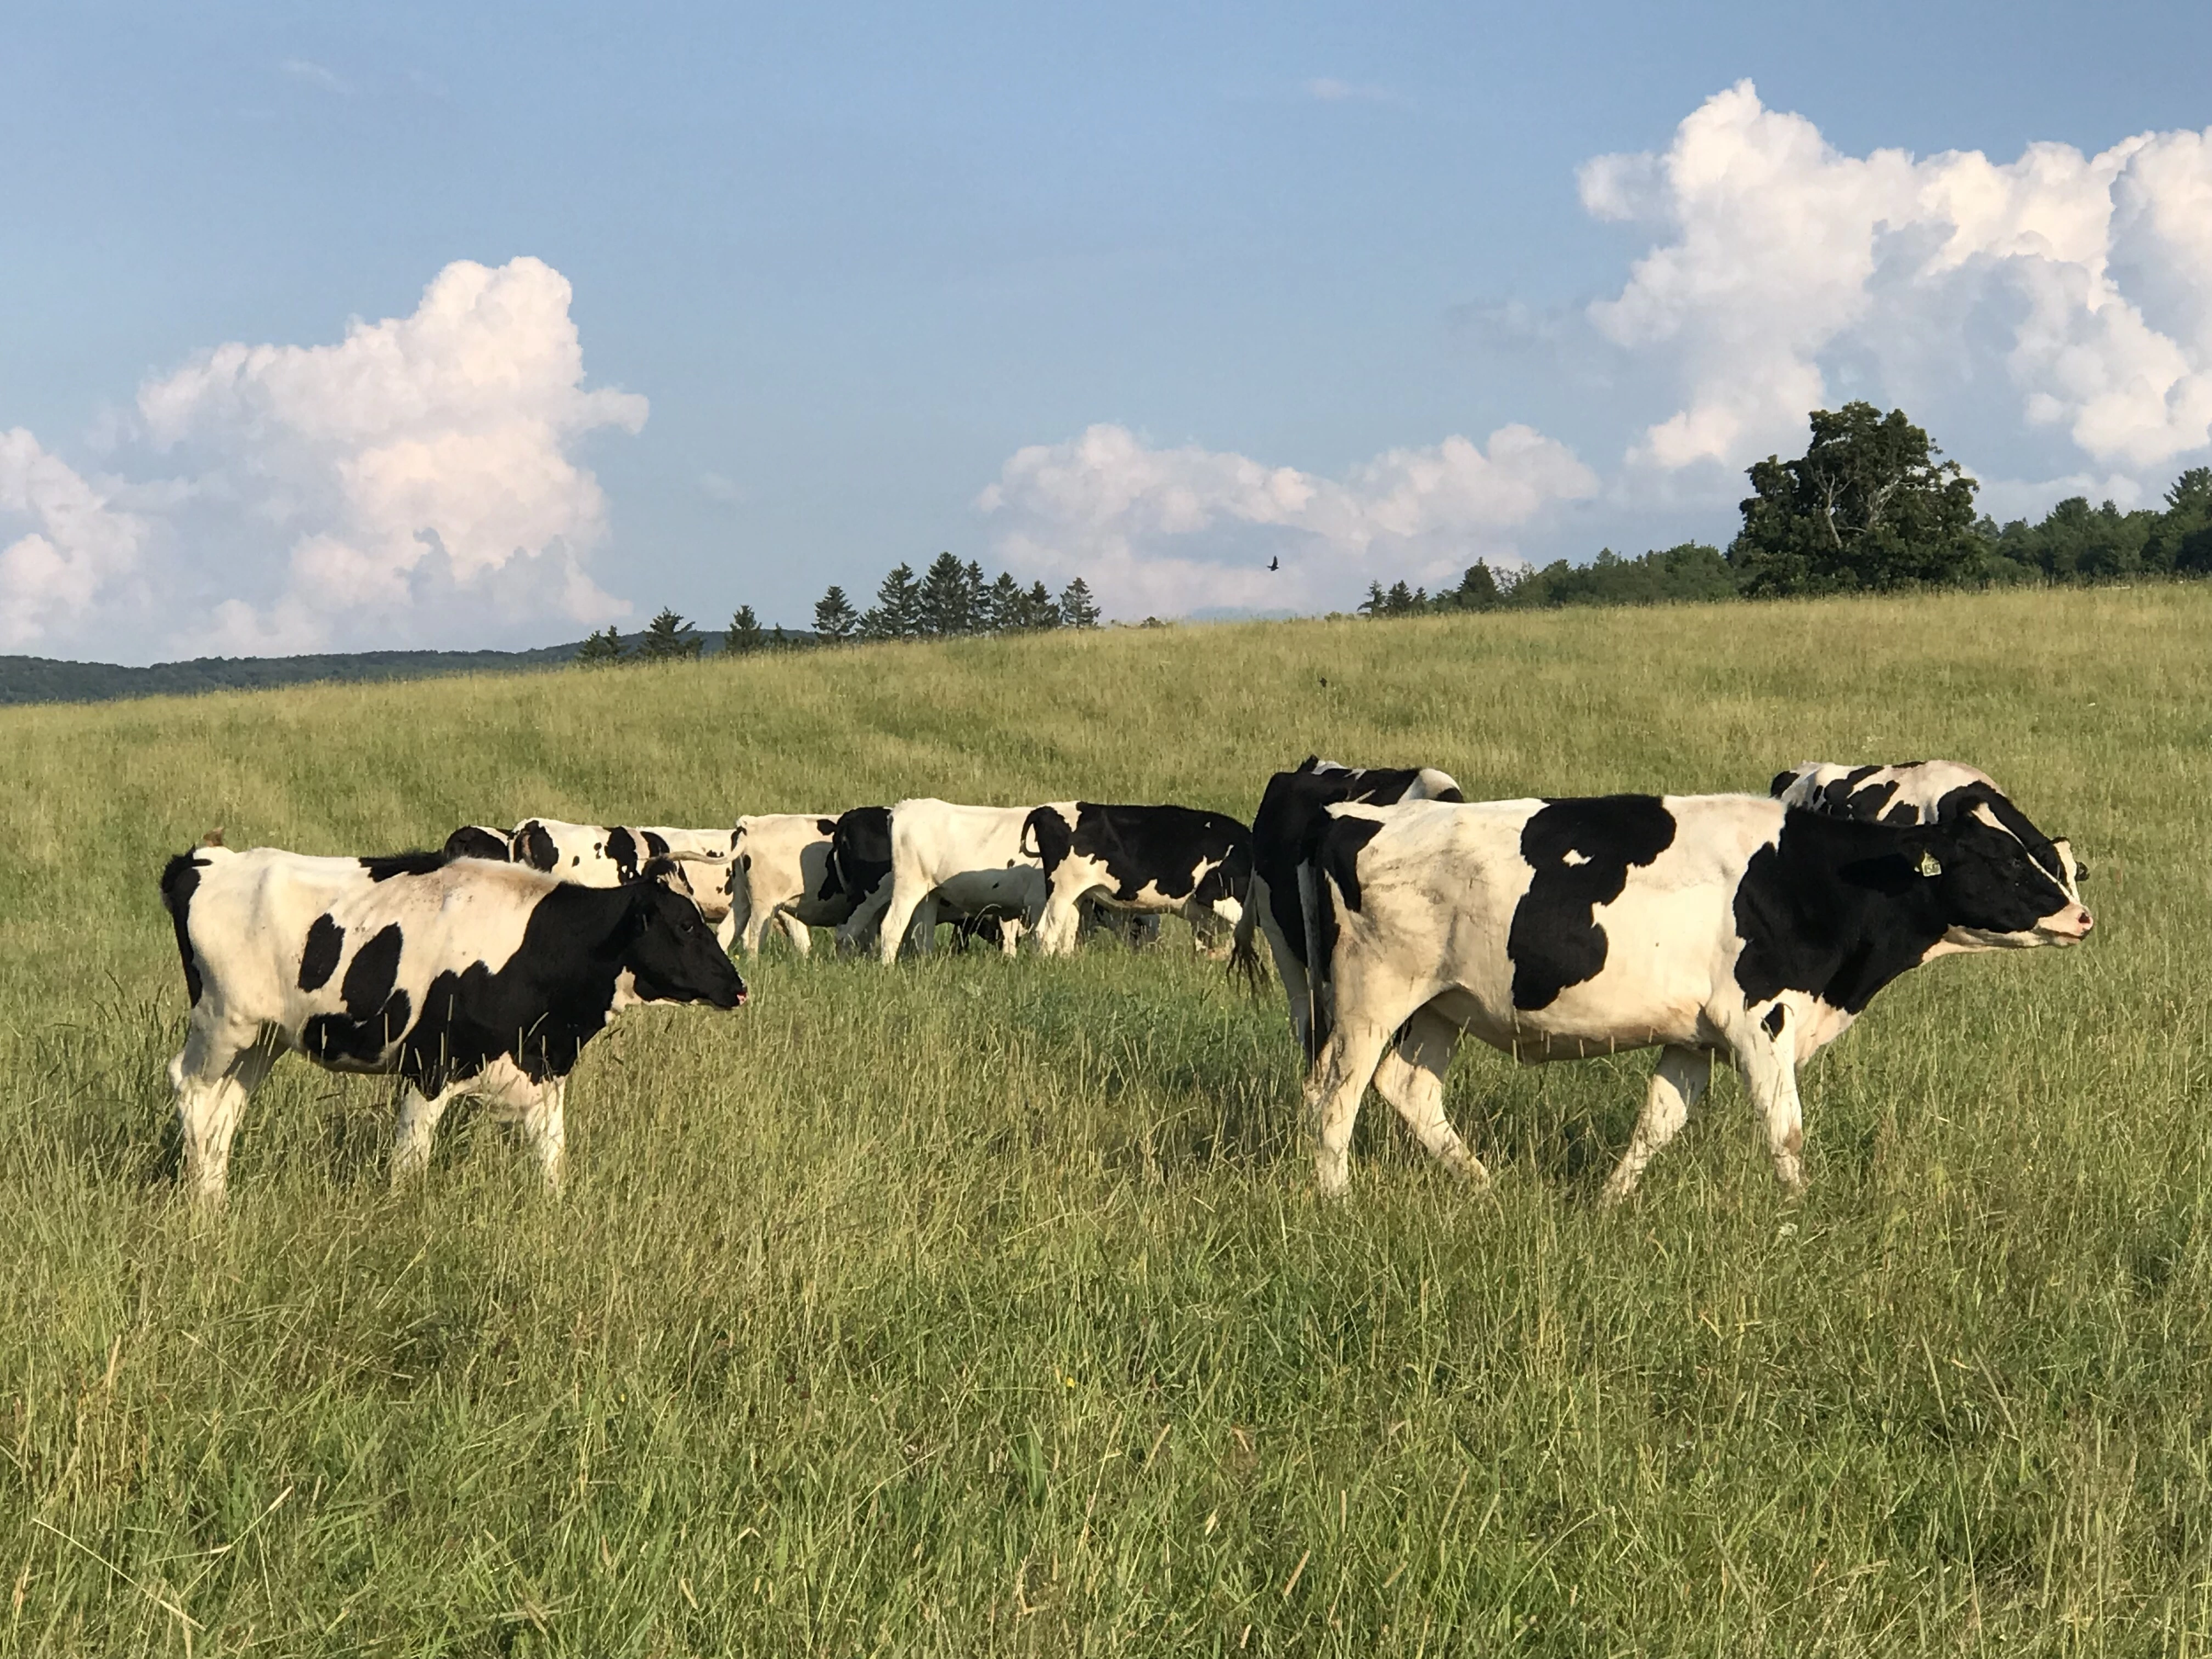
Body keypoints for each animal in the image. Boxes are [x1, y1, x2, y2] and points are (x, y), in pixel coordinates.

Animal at [159, 843, 745, 1205]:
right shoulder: (428, 1068)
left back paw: (215, 1199)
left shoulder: (543, 1074)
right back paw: (200, 1204)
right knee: (191, 1090)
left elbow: (552, 1165)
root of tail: (206, 862)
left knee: (226, 1109)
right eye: (684, 925)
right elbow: (409, 1167)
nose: (738, 987)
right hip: (221, 1025)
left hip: (262, 1041)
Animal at [1023, 803, 1252, 956]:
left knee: (1066, 935)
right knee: (1046, 932)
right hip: (1061, 891)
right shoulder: (1215, 895)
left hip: (1076, 896)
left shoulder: (1204, 918)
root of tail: (1045, 809)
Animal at [1296, 791, 2092, 1201]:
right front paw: (1800, 1219)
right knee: (1337, 1097)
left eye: (2048, 854)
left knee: (1408, 1089)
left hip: (1443, 1006)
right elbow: (1784, 1129)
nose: (2081, 917)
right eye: (2000, 859)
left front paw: (1607, 1204)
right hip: (1372, 997)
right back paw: (1337, 1201)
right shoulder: (1761, 1021)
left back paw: (1486, 1189)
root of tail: (1357, 813)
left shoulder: (1692, 1040)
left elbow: (1658, 1122)